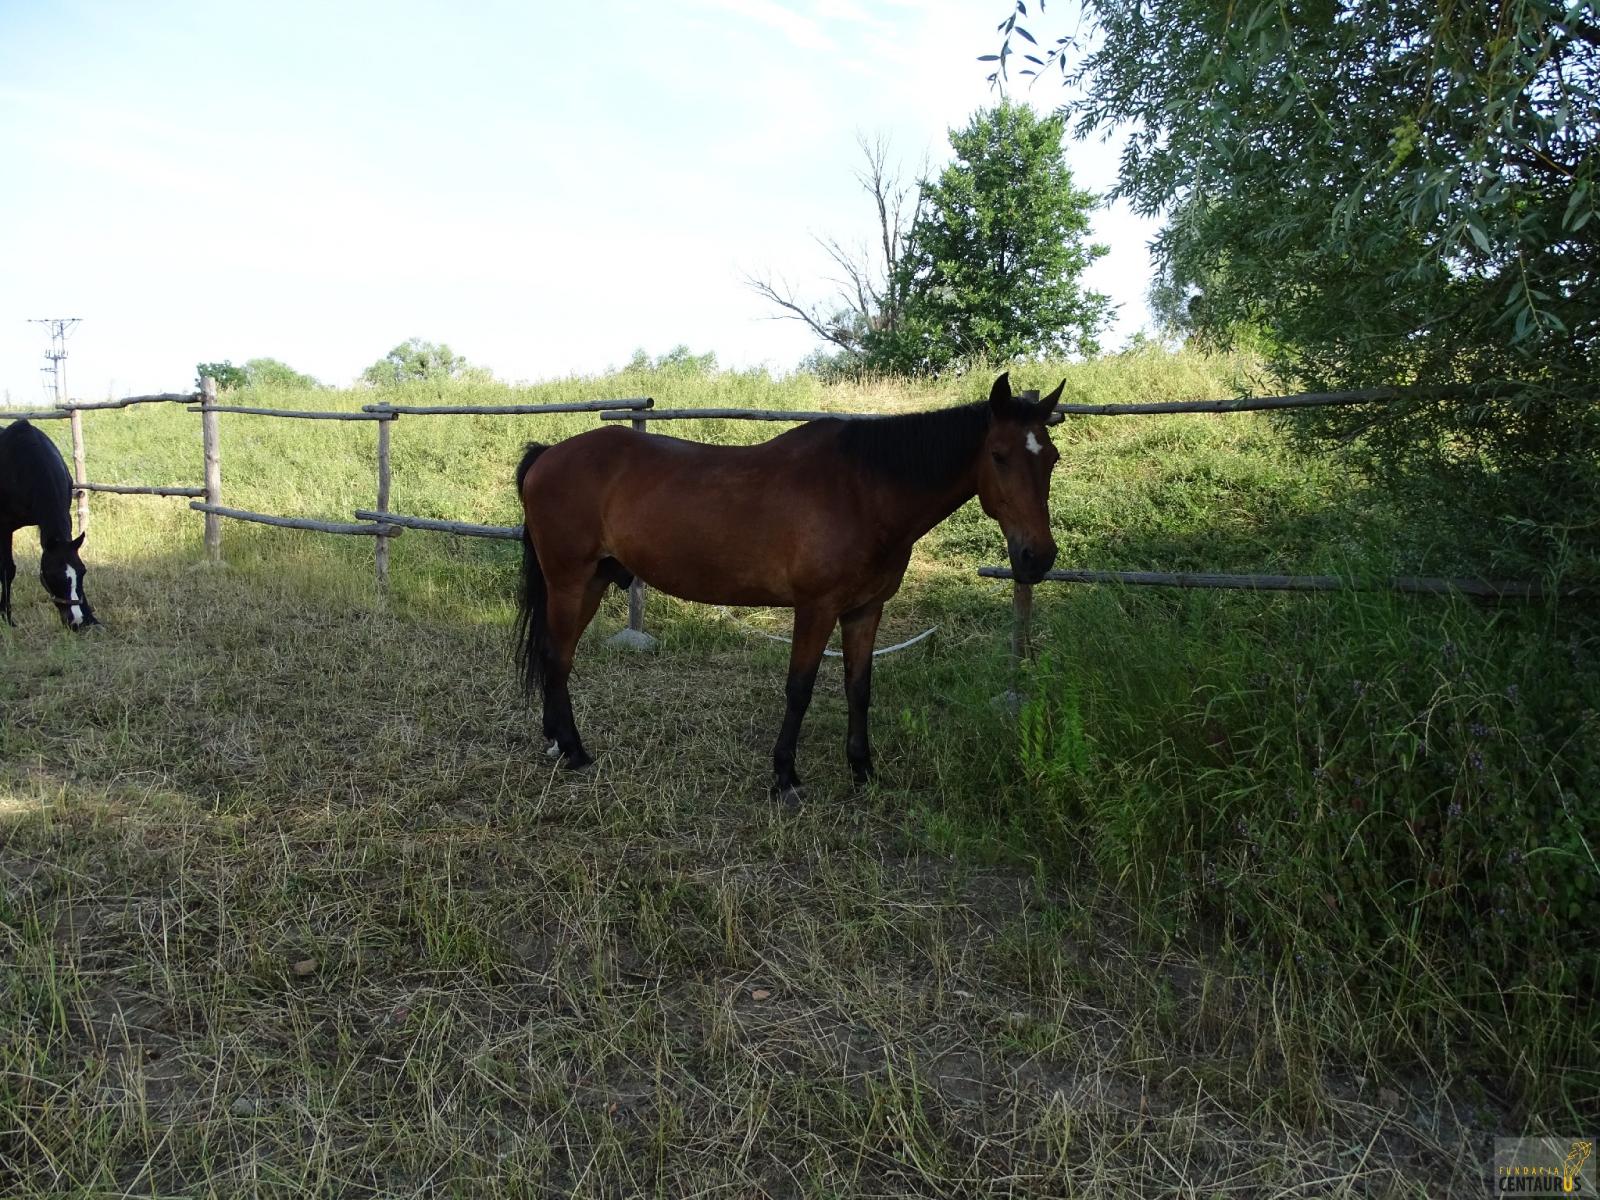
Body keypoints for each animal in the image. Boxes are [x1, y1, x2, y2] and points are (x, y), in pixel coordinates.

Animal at [1, 419, 98, 631]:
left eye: (83, 571)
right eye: (53, 576)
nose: (77, 621)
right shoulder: (4, 527)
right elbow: (7, 569)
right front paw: (6, 618)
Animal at [513, 372, 1063, 797]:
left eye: (1051, 457)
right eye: (999, 455)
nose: (1038, 557)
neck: (863, 492)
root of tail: (549, 454)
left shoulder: (865, 610)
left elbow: (859, 688)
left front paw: (863, 770)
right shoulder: (815, 608)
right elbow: (799, 689)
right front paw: (785, 776)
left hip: (591, 582)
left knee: (556, 655)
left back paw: (556, 741)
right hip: (569, 581)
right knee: (558, 657)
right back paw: (575, 751)